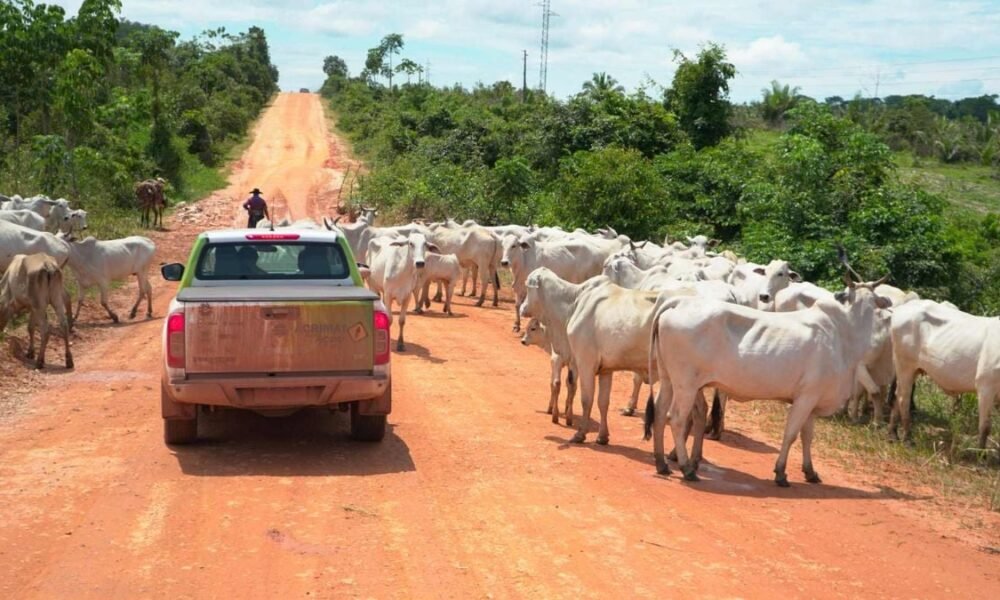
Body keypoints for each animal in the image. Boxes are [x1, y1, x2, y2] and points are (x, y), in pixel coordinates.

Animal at [645, 261, 892, 486]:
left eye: (874, 302)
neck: (842, 334)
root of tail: (678, 302)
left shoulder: (813, 402)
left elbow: (807, 437)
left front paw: (810, 472)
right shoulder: (806, 397)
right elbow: (791, 434)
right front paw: (781, 473)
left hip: (669, 379)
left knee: (660, 412)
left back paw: (662, 463)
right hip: (685, 384)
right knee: (676, 418)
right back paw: (686, 468)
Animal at [888, 299, 1000, 449]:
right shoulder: (986, 386)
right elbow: (985, 427)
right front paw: (981, 453)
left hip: (912, 369)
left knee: (896, 395)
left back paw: (893, 434)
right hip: (905, 365)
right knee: (903, 398)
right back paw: (907, 438)